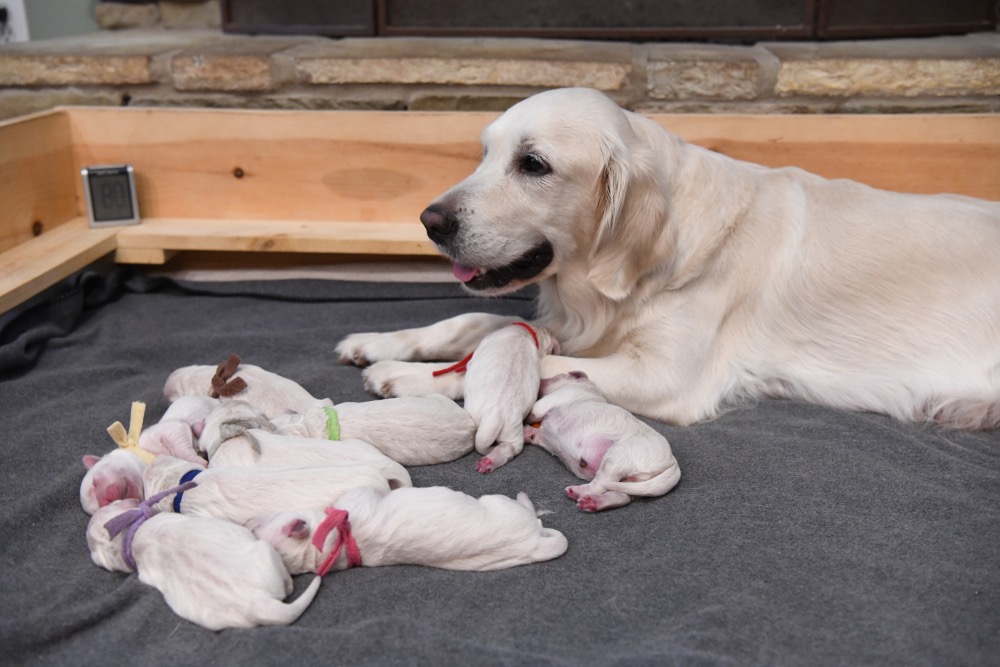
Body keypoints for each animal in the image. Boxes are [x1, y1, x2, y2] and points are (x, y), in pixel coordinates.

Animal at [245, 486, 568, 576]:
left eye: (258, 527)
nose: (248, 522)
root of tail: (532, 544)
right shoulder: (357, 500)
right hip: (501, 505)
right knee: (531, 514)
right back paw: (525, 498)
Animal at [338, 87, 1000, 434]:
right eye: (484, 154)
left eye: (533, 164)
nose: (430, 221)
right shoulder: (573, 322)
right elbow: (475, 323)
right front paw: (382, 341)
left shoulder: (666, 376)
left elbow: (527, 361)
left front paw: (405, 377)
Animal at [524, 374, 680, 516]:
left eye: (557, 376)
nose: (541, 379)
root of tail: (673, 463)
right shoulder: (544, 436)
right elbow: (536, 434)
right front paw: (527, 432)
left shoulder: (552, 399)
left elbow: (535, 410)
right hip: (633, 483)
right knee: (621, 496)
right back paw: (593, 502)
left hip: (616, 458)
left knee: (599, 484)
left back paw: (578, 492)